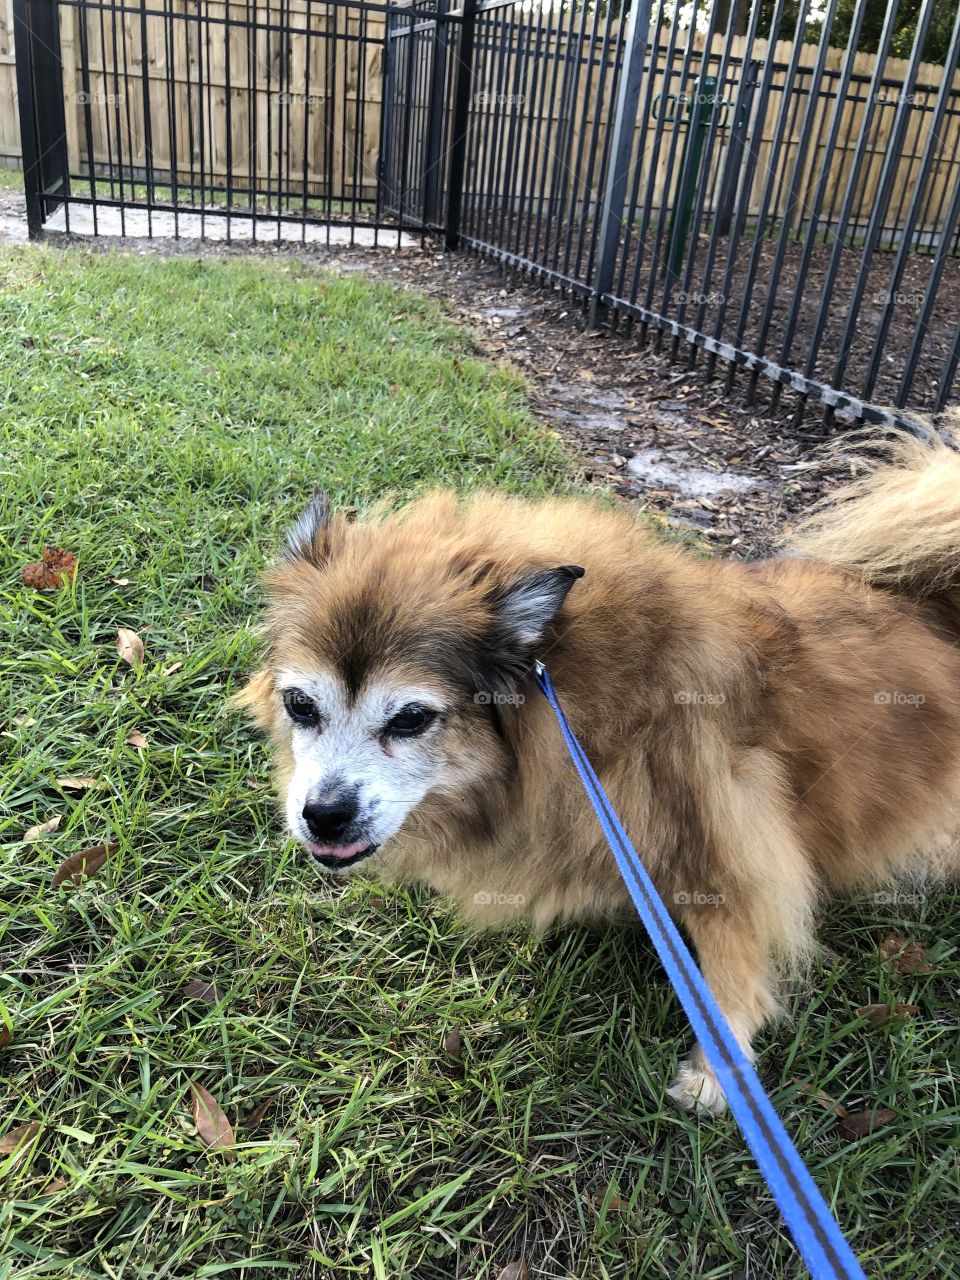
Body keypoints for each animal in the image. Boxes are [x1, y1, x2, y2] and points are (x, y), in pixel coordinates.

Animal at [239, 427, 960, 1111]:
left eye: (411, 719)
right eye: (300, 706)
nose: (322, 817)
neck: (575, 694)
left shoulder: (727, 840)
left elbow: (732, 955)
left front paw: (717, 1073)